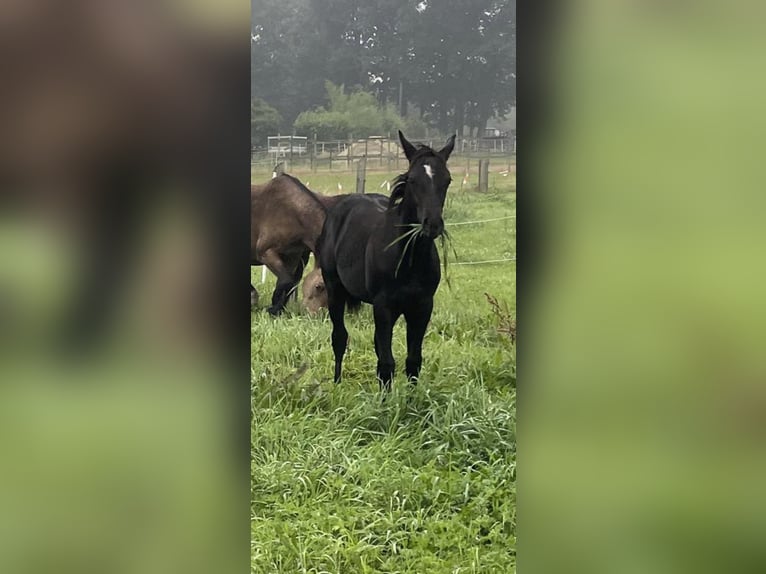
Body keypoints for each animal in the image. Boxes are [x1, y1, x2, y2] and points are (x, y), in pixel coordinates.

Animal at [318, 131, 456, 392]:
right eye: (412, 180)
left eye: (448, 180)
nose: (432, 224)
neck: (409, 258)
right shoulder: (384, 307)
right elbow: (387, 363)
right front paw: (385, 401)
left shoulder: (422, 307)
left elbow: (413, 360)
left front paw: (412, 400)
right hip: (334, 290)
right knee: (339, 337)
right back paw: (337, 384)